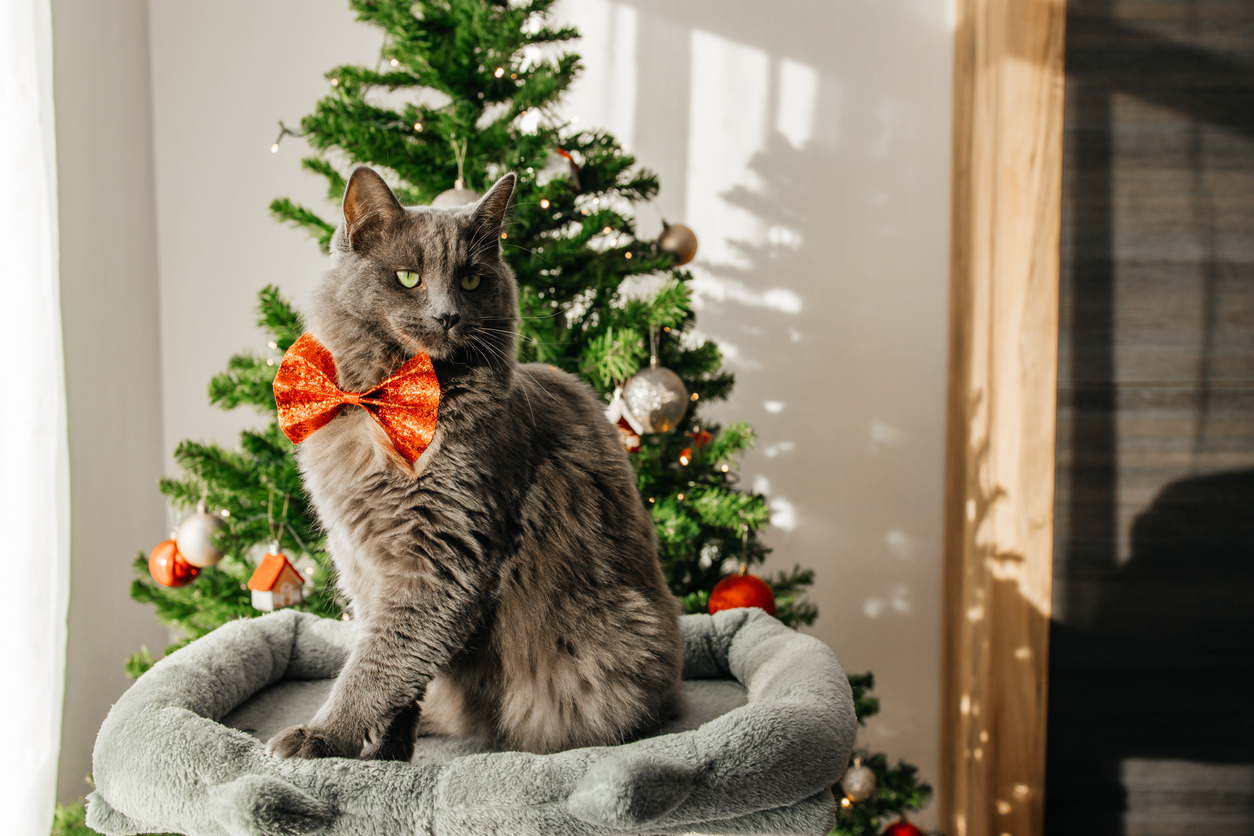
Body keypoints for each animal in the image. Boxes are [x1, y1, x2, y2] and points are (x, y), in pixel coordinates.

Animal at [267, 166, 687, 762]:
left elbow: (378, 666)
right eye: (409, 277)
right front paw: (389, 752)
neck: (383, 410)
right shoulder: (365, 563)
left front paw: (326, 738)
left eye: (470, 281)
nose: (448, 315)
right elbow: (397, 670)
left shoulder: (441, 558)